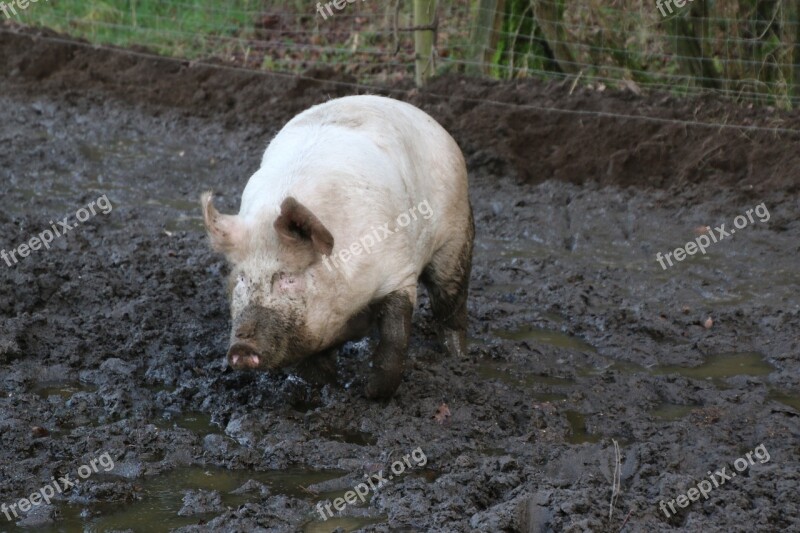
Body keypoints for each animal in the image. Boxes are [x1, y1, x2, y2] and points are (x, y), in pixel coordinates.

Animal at [203, 93, 472, 396]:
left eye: (287, 278)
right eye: (241, 279)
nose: (241, 347)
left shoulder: (399, 271)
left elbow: (395, 337)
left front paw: (371, 393)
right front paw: (322, 388)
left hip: (456, 232)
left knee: (450, 299)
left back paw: (457, 358)